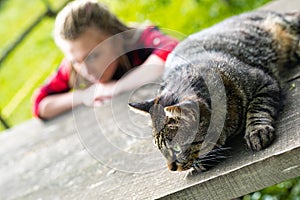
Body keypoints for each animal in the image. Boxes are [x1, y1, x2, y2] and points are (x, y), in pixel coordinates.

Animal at [129, 9, 300, 172]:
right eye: (160, 150)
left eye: (176, 148)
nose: (171, 169)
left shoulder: (265, 82)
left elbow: (257, 108)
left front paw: (256, 130)